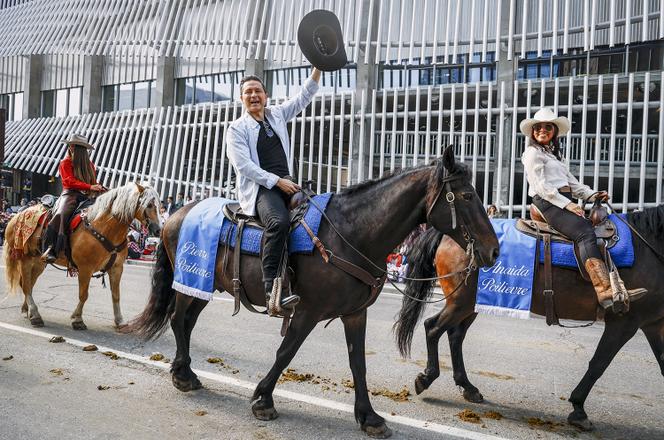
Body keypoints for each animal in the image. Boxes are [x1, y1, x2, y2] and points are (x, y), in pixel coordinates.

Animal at [3, 182, 162, 330]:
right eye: (149, 205)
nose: (159, 230)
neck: (104, 227)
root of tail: (16, 216)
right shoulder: (86, 269)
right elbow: (84, 294)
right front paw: (77, 319)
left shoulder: (116, 268)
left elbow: (116, 295)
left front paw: (120, 321)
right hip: (25, 259)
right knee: (26, 286)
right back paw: (35, 315)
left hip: (39, 262)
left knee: (28, 284)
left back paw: (28, 310)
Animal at [126, 147, 498, 436]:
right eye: (467, 195)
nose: (493, 250)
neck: (351, 233)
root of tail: (177, 214)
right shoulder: (306, 312)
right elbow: (285, 352)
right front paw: (262, 399)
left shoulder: (355, 313)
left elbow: (358, 363)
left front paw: (369, 417)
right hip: (189, 284)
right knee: (178, 320)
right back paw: (182, 375)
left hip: (203, 285)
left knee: (186, 323)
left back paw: (186, 372)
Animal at [394, 208, 664, 432]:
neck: (649, 248)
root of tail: (449, 235)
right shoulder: (624, 323)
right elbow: (598, 364)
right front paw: (578, 409)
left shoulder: (653, 325)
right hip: (460, 302)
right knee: (433, 328)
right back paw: (426, 378)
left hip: (471, 303)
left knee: (455, 335)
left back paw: (468, 387)